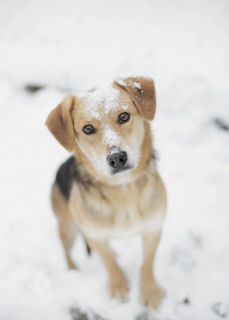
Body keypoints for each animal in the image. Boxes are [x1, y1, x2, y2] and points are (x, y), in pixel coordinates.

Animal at [45, 76, 166, 308]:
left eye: (124, 116)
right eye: (88, 129)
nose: (117, 158)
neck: (122, 190)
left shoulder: (153, 229)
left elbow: (147, 264)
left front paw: (149, 292)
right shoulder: (95, 236)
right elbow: (109, 263)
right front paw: (119, 287)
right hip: (67, 227)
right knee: (66, 249)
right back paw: (73, 270)